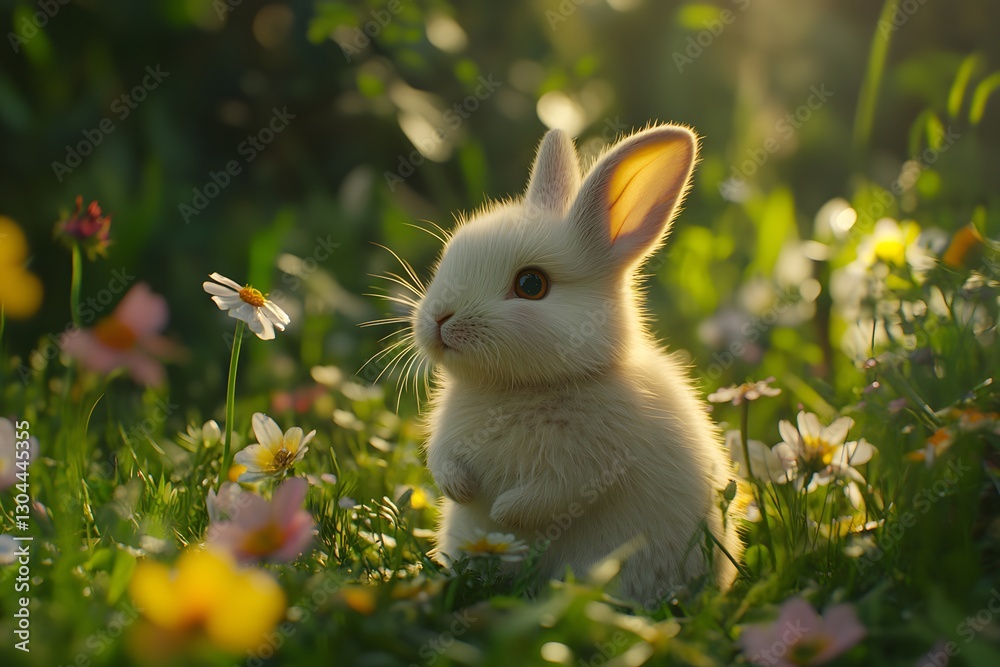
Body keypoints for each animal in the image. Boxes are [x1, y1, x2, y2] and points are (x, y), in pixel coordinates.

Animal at [409, 123, 743, 602]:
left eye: (531, 285)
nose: (439, 319)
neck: (517, 389)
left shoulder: (591, 462)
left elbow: (554, 496)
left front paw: (504, 510)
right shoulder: (446, 436)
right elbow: (440, 460)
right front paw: (461, 489)